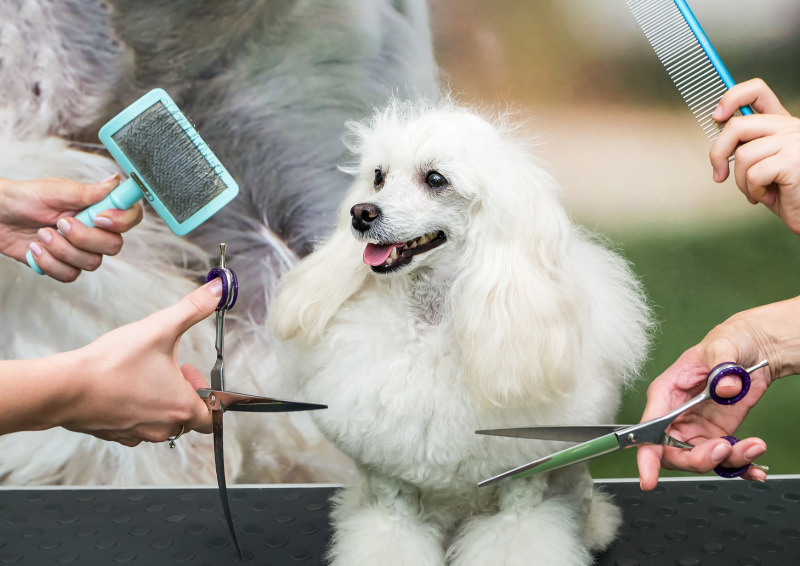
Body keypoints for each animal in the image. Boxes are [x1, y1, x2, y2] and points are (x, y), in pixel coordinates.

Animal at [268, 100, 648, 564]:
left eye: (436, 179)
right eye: (378, 177)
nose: (361, 213)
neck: (432, 323)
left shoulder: (521, 475)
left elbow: (519, 532)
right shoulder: (390, 473)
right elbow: (392, 527)